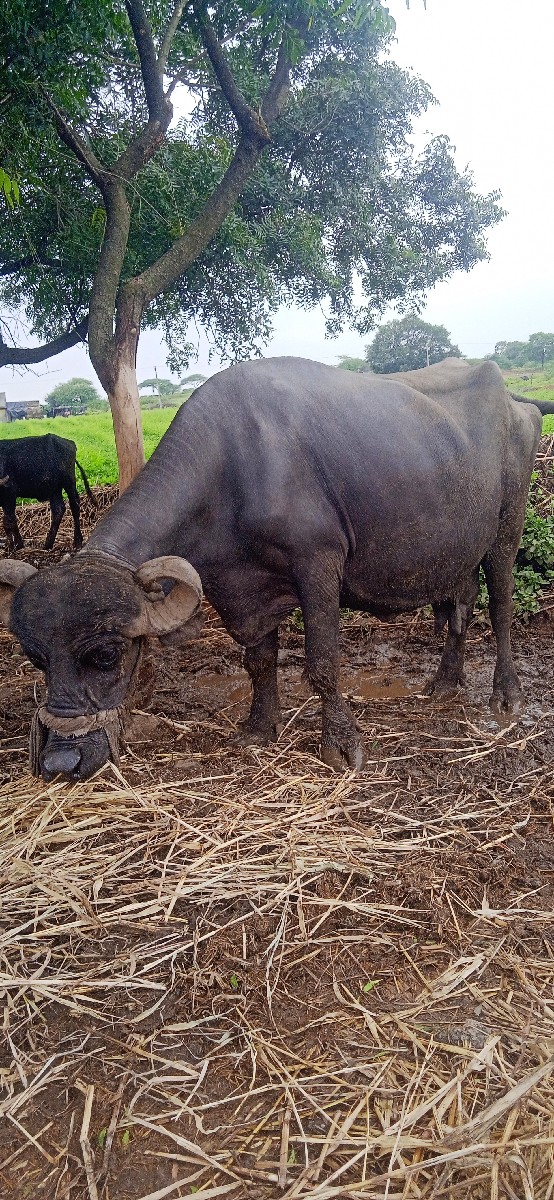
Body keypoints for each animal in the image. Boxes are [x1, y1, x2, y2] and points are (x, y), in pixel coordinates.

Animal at [1, 357, 552, 783]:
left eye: (108, 654)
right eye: (36, 659)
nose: (61, 762)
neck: (235, 469)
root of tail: (515, 401)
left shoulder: (318, 565)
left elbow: (322, 663)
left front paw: (341, 745)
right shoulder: (242, 590)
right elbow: (258, 661)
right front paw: (259, 727)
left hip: (506, 530)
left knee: (500, 603)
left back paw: (506, 695)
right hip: (457, 548)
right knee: (461, 604)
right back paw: (444, 682)